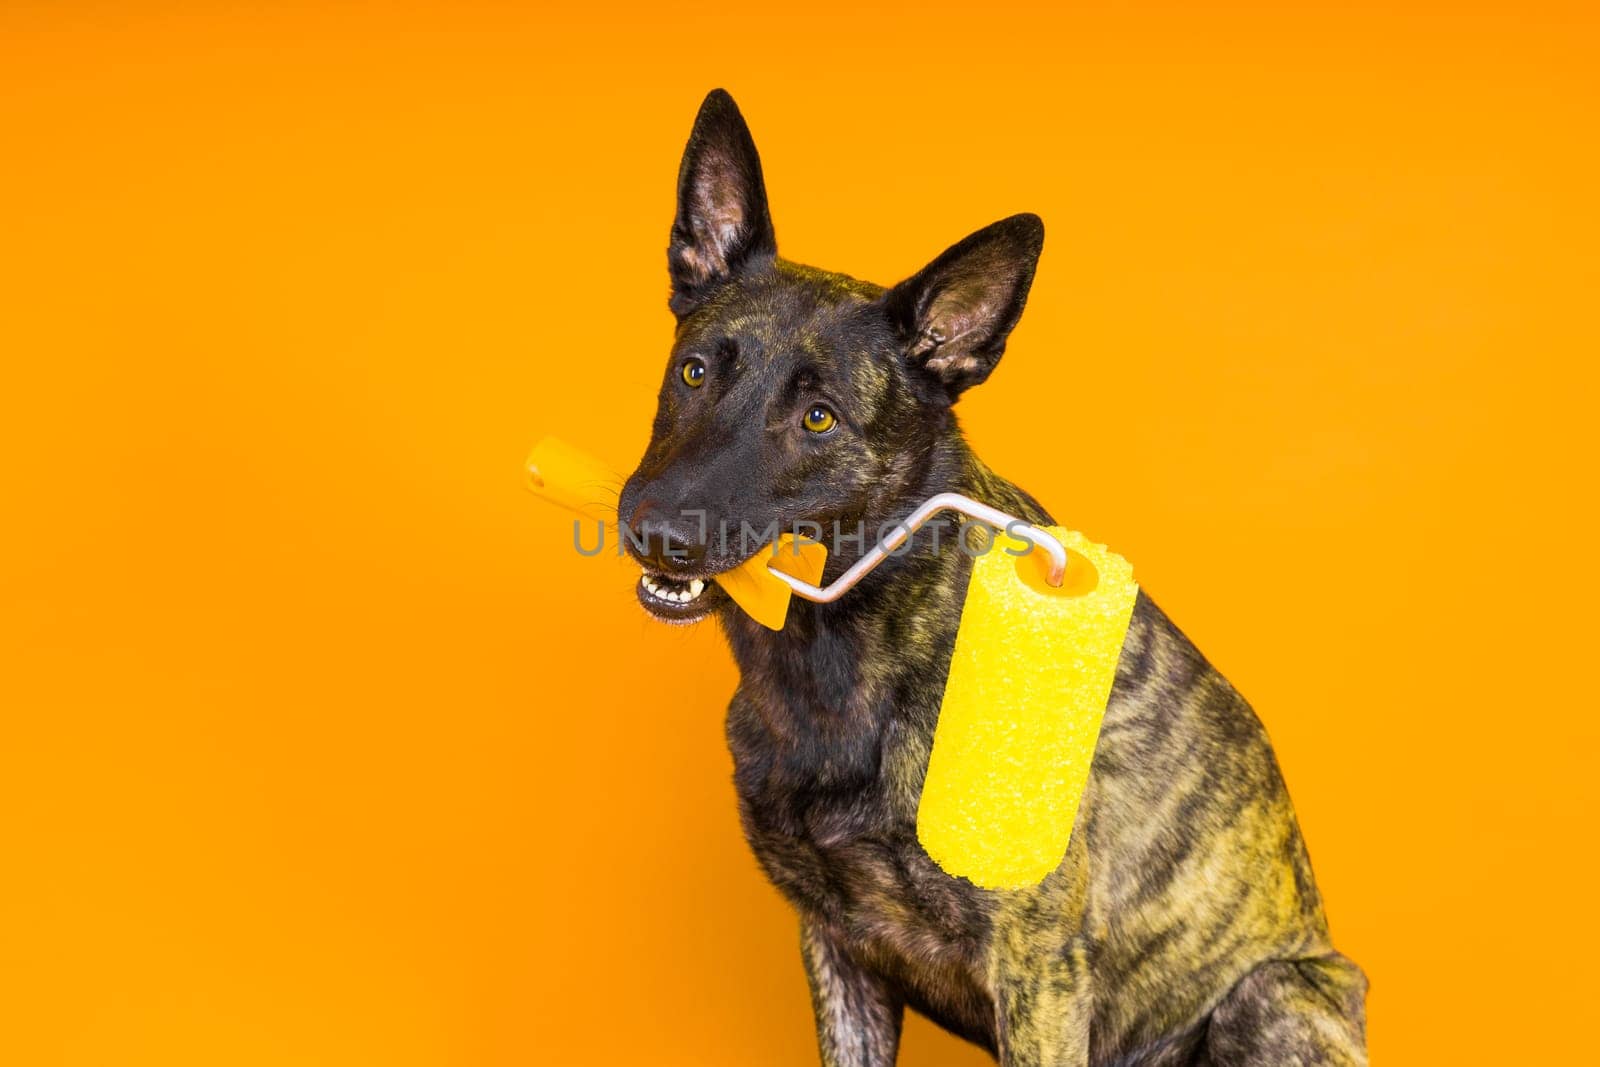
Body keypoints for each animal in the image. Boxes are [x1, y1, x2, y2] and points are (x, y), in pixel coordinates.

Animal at [617, 89, 1369, 1067]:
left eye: (820, 418)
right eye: (695, 369)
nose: (655, 532)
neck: (840, 661)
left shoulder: (1038, 968)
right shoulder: (837, 944)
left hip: (1270, 994)